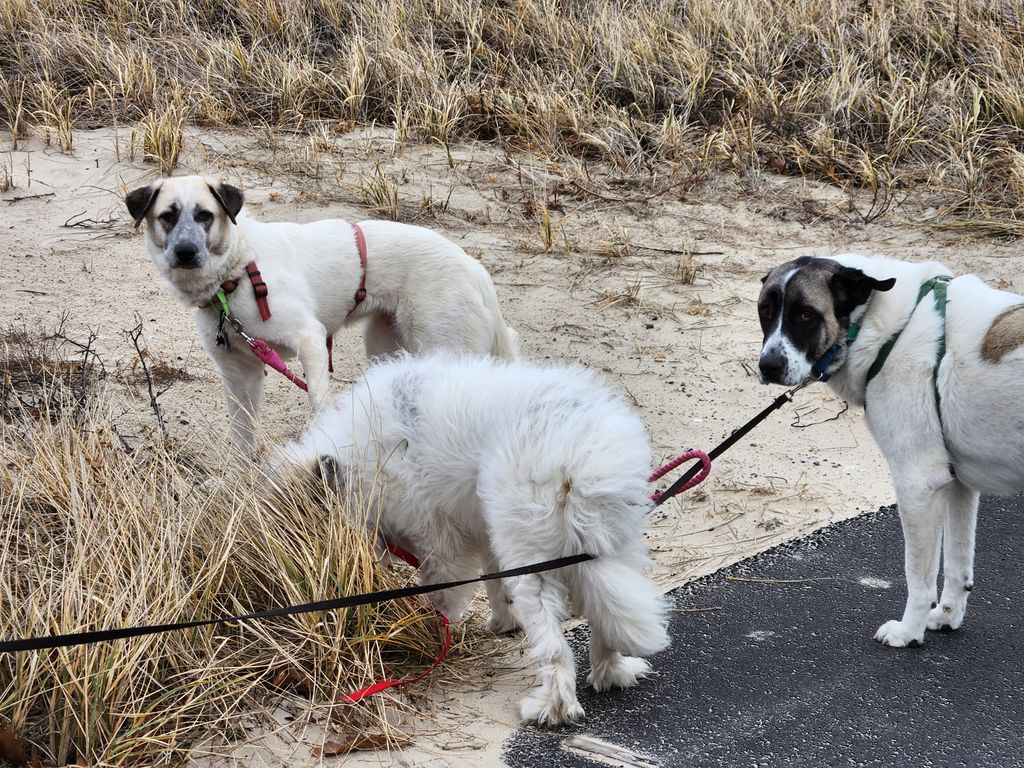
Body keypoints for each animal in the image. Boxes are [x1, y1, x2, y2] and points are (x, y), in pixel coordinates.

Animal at [123, 177, 516, 454]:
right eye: (168, 216)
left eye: (204, 215)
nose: (185, 252)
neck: (237, 270)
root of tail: (474, 268)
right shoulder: (239, 372)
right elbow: (242, 437)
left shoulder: (309, 338)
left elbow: (318, 404)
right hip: (386, 350)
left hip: (443, 349)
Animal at [272, 354, 671, 729]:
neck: (356, 459)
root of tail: (580, 454)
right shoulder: (485, 532)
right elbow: (494, 584)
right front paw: (503, 622)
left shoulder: (442, 547)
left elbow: (442, 599)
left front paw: (431, 638)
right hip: (605, 550)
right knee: (604, 616)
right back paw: (612, 673)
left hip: (534, 564)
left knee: (555, 648)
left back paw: (551, 709)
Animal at [757, 257, 1024, 651]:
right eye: (765, 310)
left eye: (805, 314)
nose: (768, 366)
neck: (877, 322)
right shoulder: (959, 486)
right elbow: (957, 566)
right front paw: (947, 617)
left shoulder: (918, 487)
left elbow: (918, 578)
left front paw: (908, 632)